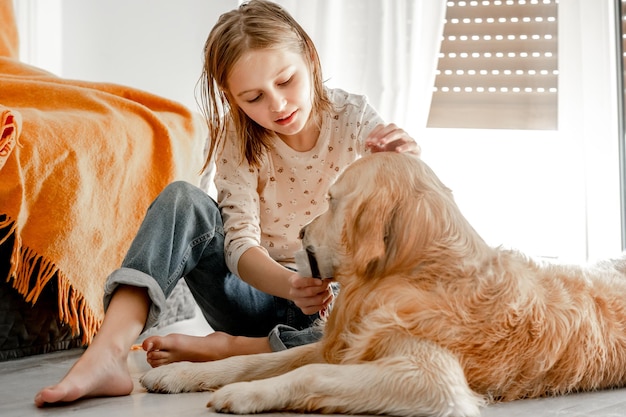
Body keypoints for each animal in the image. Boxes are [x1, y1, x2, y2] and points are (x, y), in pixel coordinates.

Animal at [139, 153, 624, 416]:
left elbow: (307, 372)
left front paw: (243, 394)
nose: (302, 233)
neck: (412, 273)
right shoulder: (342, 343)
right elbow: (253, 360)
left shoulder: (432, 379)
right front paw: (181, 374)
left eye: (332, 201)